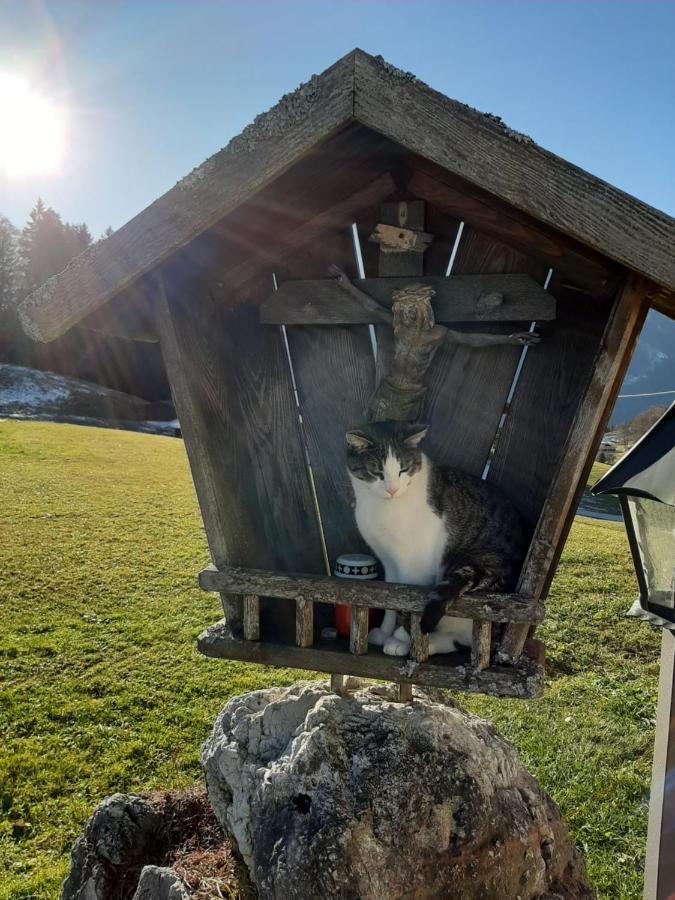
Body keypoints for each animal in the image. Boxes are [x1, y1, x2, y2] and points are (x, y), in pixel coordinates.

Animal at [346, 418, 532, 656]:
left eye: (403, 470)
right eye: (377, 472)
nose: (392, 489)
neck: (384, 506)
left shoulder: (416, 566)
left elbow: (408, 603)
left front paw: (401, 638)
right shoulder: (389, 561)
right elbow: (391, 597)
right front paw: (386, 631)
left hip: (473, 564)